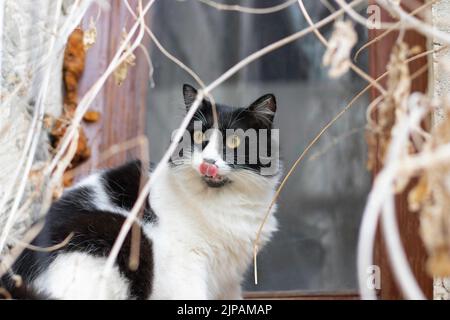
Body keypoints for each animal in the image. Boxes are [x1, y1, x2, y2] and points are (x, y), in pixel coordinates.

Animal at [0, 84, 282, 298]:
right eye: (199, 138)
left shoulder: (229, 279)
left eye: (234, 141)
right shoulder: (186, 264)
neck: (224, 203)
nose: (208, 163)